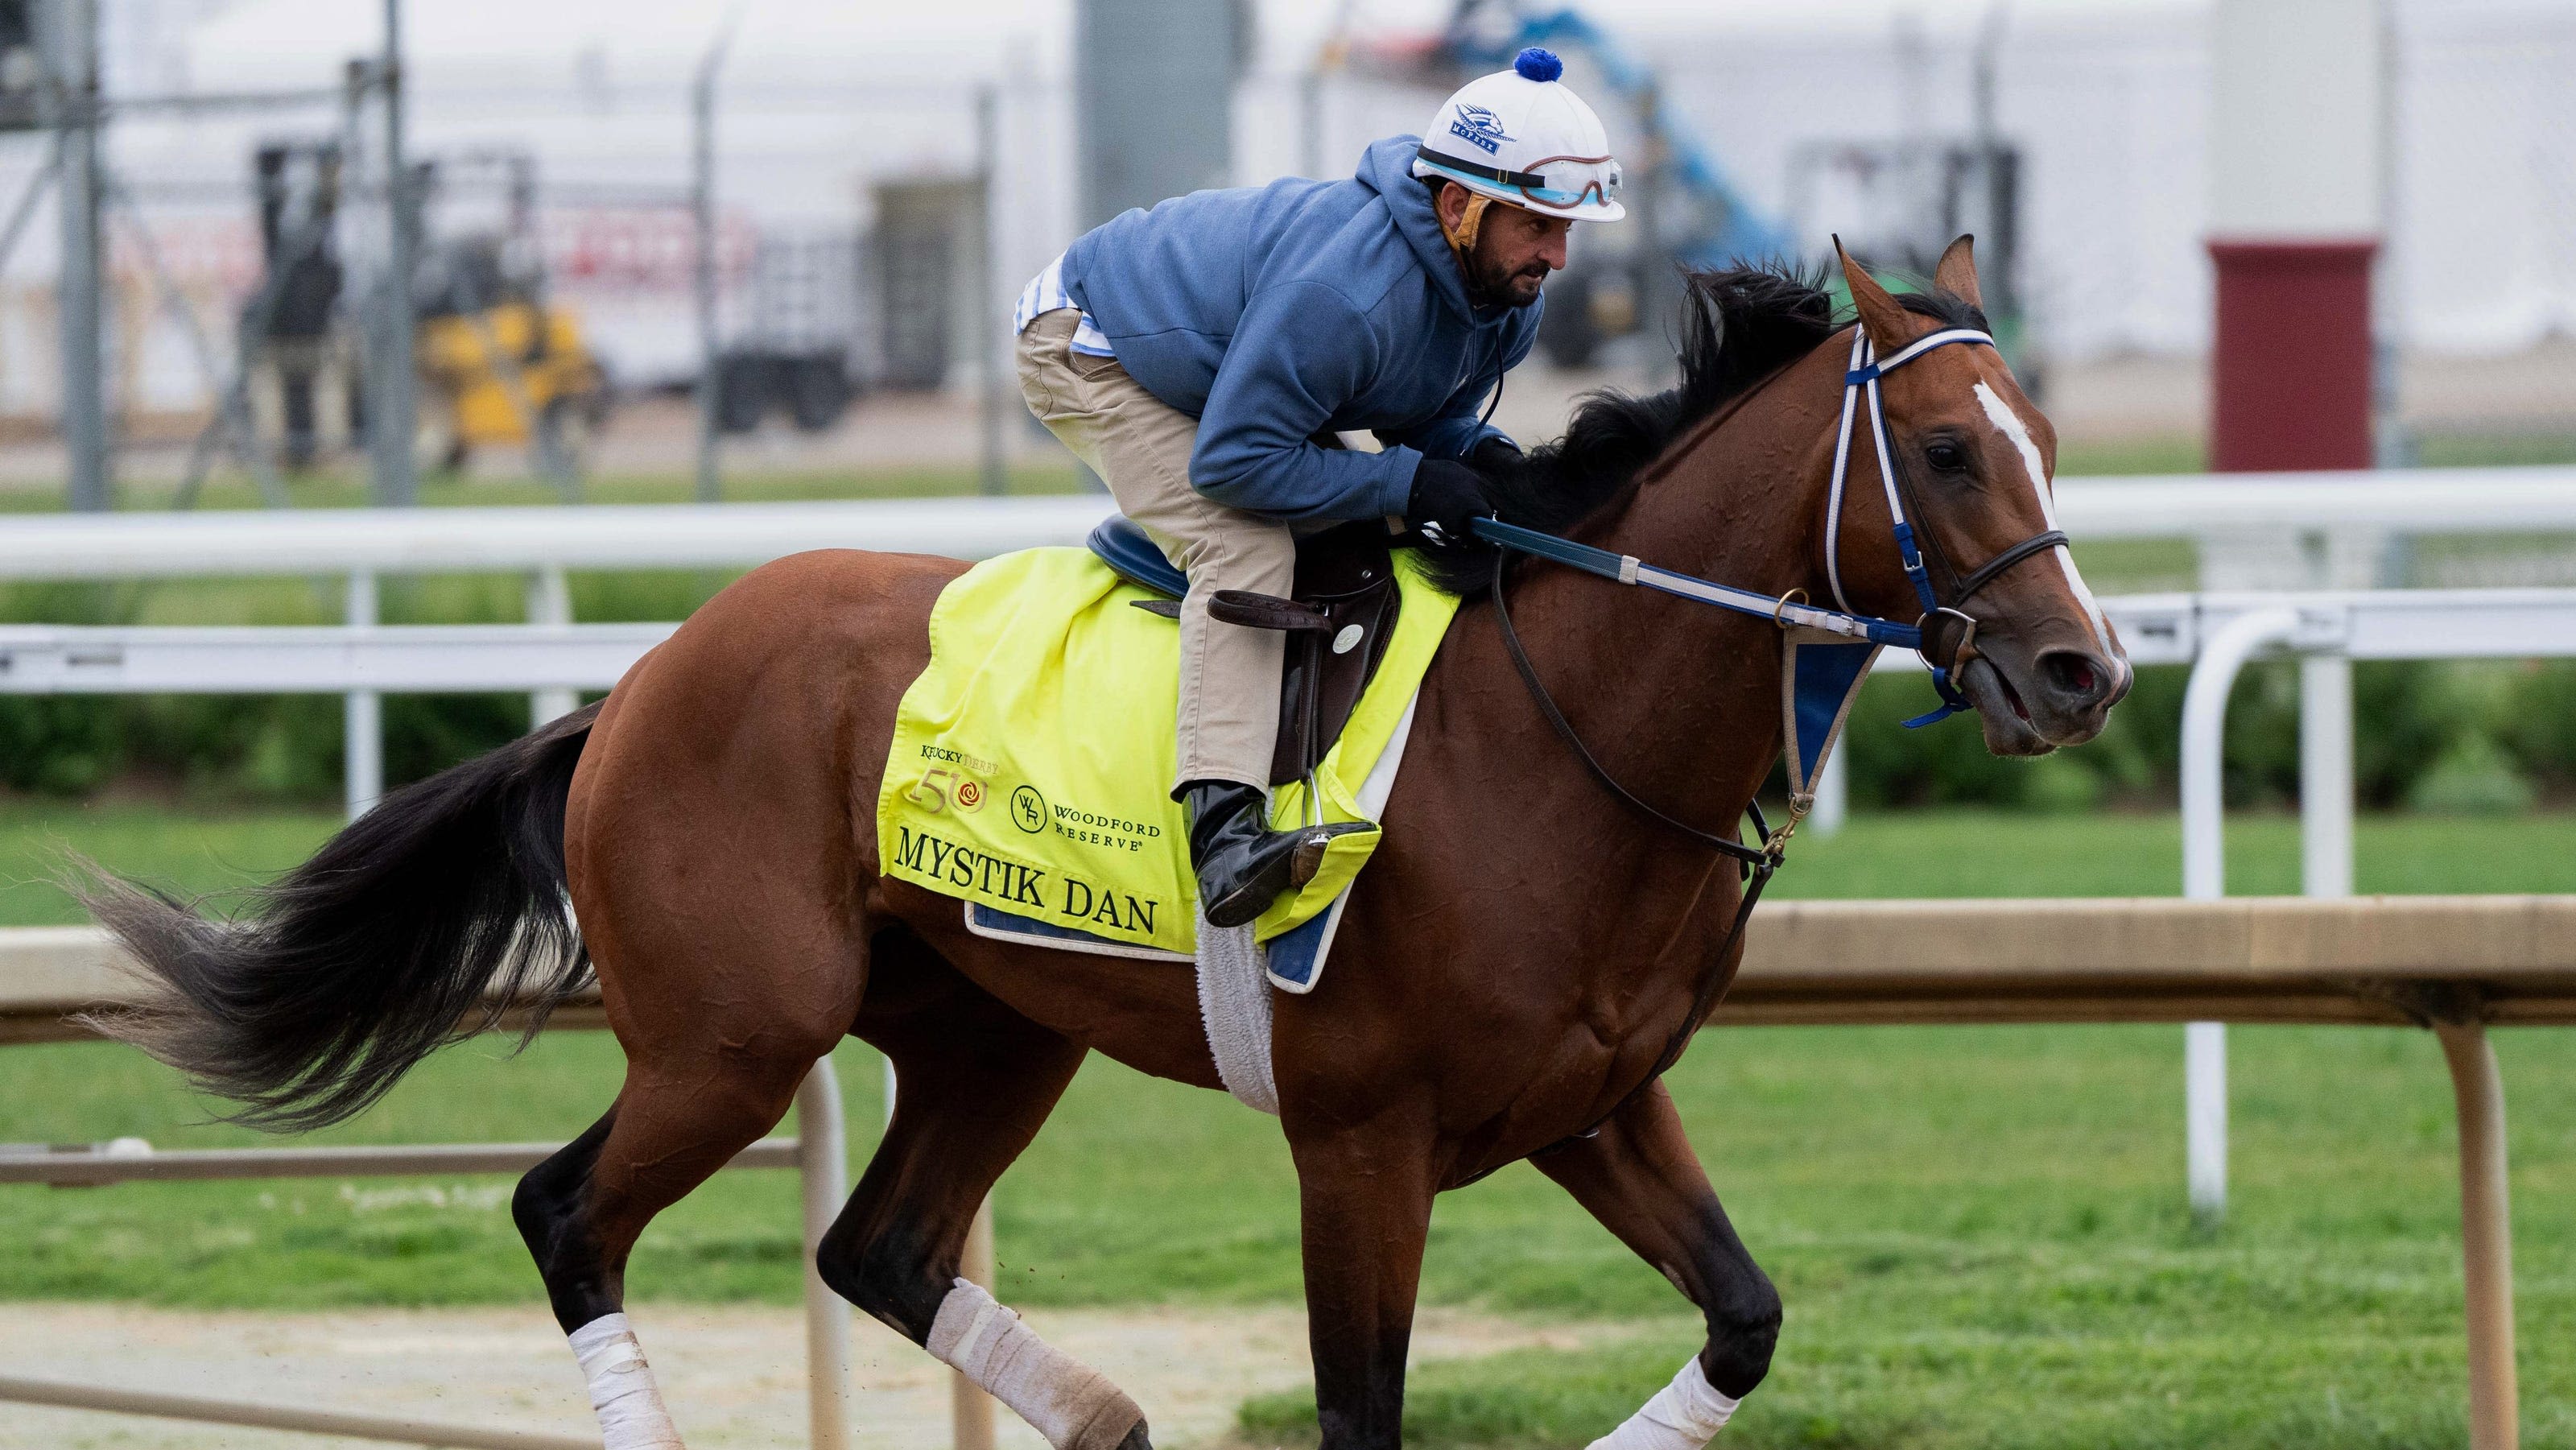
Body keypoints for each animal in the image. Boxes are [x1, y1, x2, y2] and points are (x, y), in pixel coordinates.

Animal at [85, 243, 2132, 1450]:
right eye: (1949, 450)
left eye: (2047, 428)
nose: (2080, 668)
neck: (1569, 723)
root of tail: (639, 680)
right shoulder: (1360, 1140)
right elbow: (1365, 1411)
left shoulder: (1594, 1101)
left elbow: (1747, 1321)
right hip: (735, 1032)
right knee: (566, 1212)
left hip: (991, 1029)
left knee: (881, 1248)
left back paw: (1100, 1414)